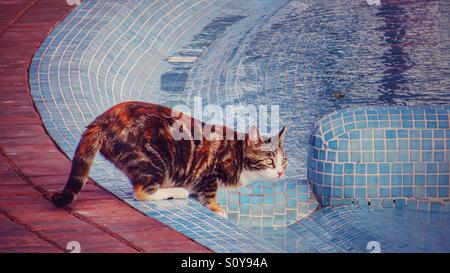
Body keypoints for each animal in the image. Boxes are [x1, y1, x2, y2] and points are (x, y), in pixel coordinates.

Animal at [51, 101, 286, 216]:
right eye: (269, 161)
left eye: (284, 161)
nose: (281, 172)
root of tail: (103, 118)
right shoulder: (209, 175)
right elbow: (209, 197)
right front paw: (218, 210)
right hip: (154, 159)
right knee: (141, 192)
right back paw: (177, 191)